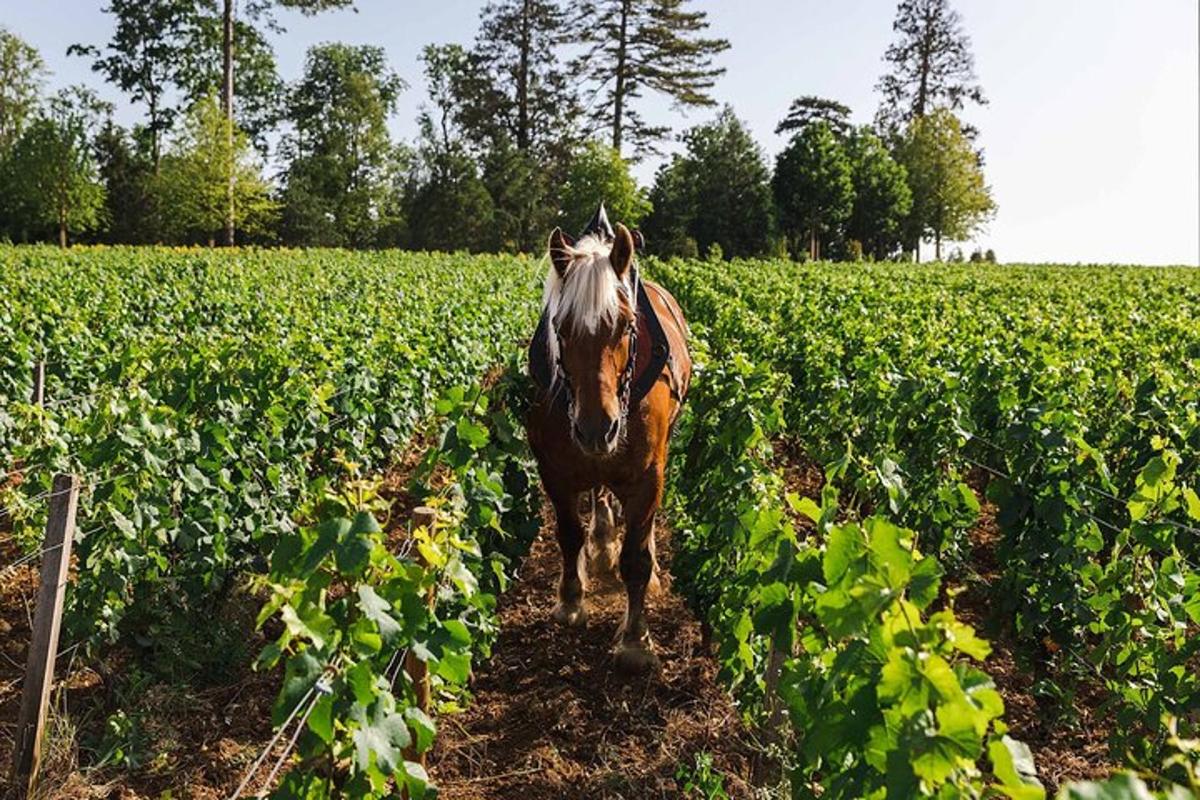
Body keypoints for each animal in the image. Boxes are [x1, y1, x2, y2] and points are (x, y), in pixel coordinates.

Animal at [528, 203, 696, 671]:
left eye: (624, 325)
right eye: (561, 327)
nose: (595, 428)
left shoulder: (648, 474)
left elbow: (636, 558)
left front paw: (636, 640)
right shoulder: (554, 469)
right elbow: (569, 533)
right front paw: (570, 602)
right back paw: (602, 540)